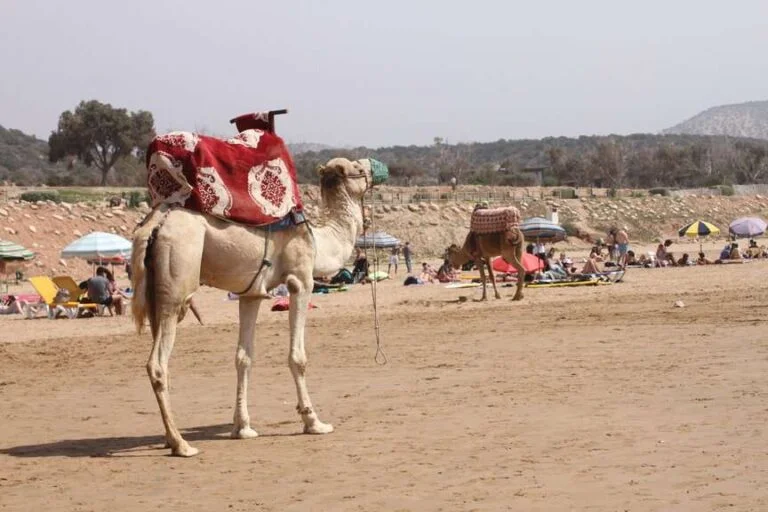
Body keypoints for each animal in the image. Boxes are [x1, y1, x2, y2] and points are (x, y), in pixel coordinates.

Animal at [132, 155, 372, 456]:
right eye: (359, 169)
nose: (374, 167)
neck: (320, 240)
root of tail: (155, 224)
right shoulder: (301, 280)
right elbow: (297, 357)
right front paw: (314, 422)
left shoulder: (251, 294)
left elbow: (243, 357)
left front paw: (242, 427)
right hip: (177, 280)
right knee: (157, 363)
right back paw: (181, 444)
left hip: (155, 290)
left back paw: (168, 436)